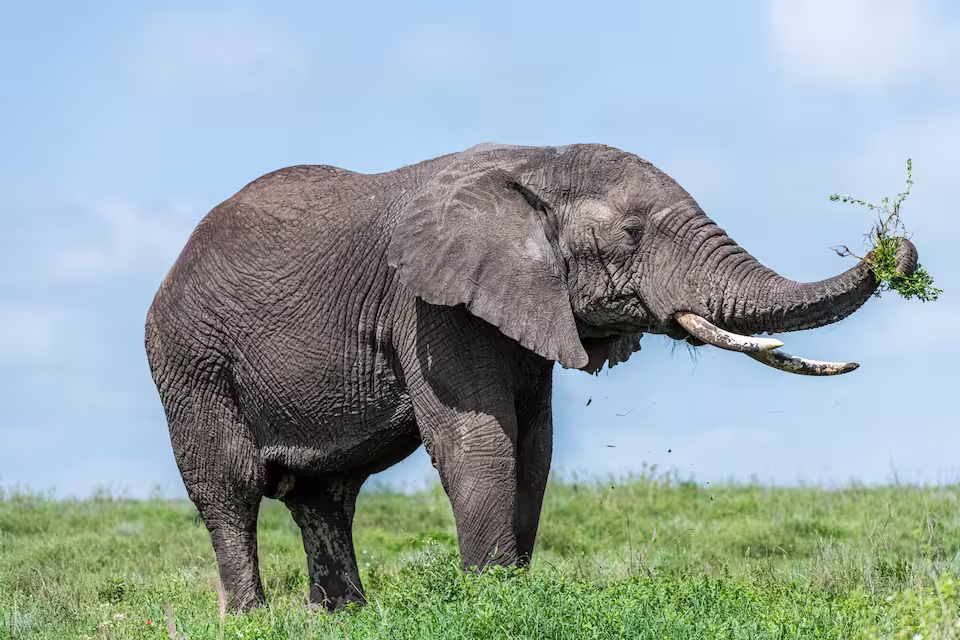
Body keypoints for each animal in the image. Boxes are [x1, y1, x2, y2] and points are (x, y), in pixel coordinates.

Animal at [144, 143, 917, 611]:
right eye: (631, 234)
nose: (897, 247)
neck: (534, 161)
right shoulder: (429, 307)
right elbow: (480, 442)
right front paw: (491, 600)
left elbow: (535, 449)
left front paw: (511, 592)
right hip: (190, 362)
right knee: (230, 489)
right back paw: (251, 617)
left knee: (325, 497)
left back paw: (344, 616)